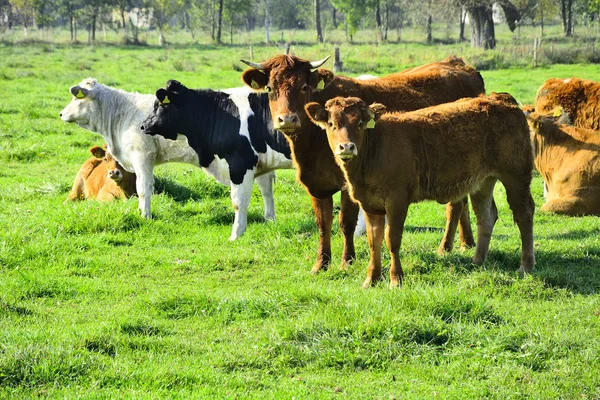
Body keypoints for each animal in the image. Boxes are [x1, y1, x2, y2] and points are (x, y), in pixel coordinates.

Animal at [139, 79, 292, 239]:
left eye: (159, 105)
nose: (143, 126)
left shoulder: (240, 163)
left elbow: (239, 201)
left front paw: (236, 234)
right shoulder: (261, 163)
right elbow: (267, 192)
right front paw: (270, 222)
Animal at [241, 55, 486, 276]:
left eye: (303, 87)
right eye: (270, 88)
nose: (287, 119)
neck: (310, 142)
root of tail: (458, 63)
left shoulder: (349, 184)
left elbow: (346, 223)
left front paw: (347, 261)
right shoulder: (316, 185)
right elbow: (323, 224)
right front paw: (321, 264)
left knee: (455, 206)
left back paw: (445, 247)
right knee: (462, 201)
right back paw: (466, 242)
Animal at [304, 94, 536, 288]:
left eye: (360, 124)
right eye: (332, 124)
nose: (347, 147)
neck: (375, 150)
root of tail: (502, 99)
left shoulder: (397, 200)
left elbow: (392, 239)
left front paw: (396, 279)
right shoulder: (369, 204)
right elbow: (374, 242)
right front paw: (372, 279)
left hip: (516, 175)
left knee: (524, 214)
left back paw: (526, 265)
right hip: (483, 181)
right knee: (485, 216)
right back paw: (477, 260)